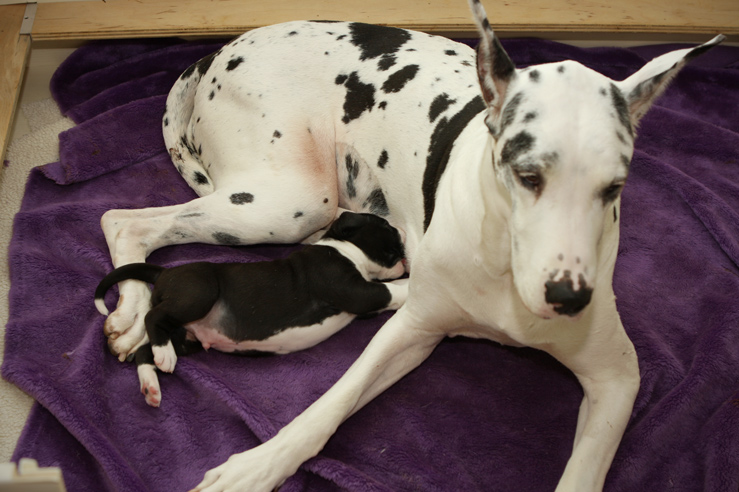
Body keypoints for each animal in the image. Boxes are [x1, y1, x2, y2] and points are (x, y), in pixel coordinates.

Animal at [94, 212, 408, 408]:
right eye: (386, 226)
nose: (403, 230)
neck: (342, 247)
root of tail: (163, 272)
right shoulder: (350, 289)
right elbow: (386, 290)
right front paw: (409, 286)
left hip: (185, 338)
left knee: (144, 351)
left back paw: (153, 384)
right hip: (198, 293)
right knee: (152, 316)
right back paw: (163, 358)